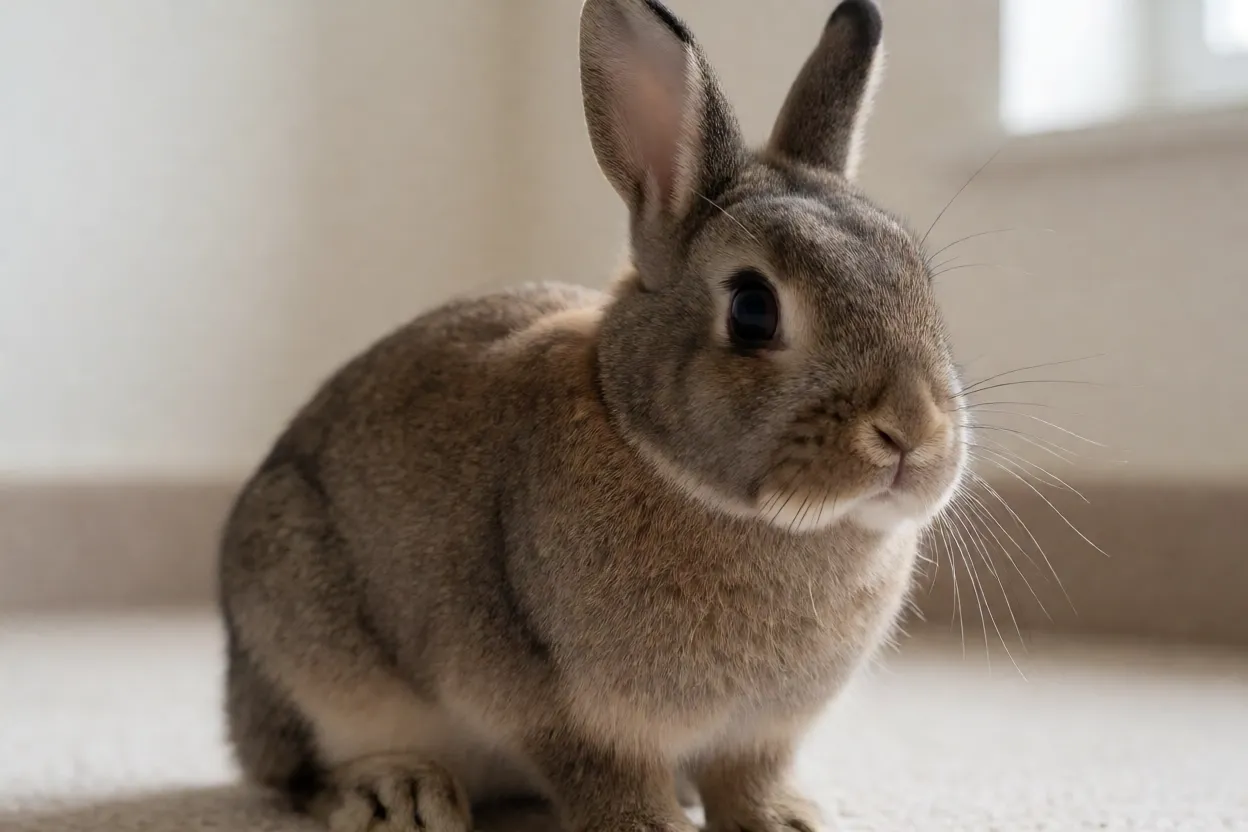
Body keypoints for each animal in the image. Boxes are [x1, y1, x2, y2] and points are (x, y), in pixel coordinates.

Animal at [217, 1, 968, 831]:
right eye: (752, 310)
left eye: (920, 282)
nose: (913, 431)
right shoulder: (567, 715)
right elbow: (606, 778)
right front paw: (653, 826)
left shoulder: (760, 734)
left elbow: (749, 777)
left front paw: (782, 822)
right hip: (299, 629)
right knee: (296, 774)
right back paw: (400, 795)